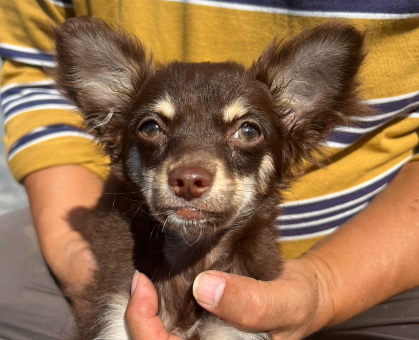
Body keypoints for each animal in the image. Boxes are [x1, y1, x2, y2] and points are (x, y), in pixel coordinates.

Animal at [52, 17, 370, 340]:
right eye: (151, 128)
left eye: (249, 132)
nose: (189, 179)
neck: (190, 255)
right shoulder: (114, 310)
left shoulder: (234, 327)